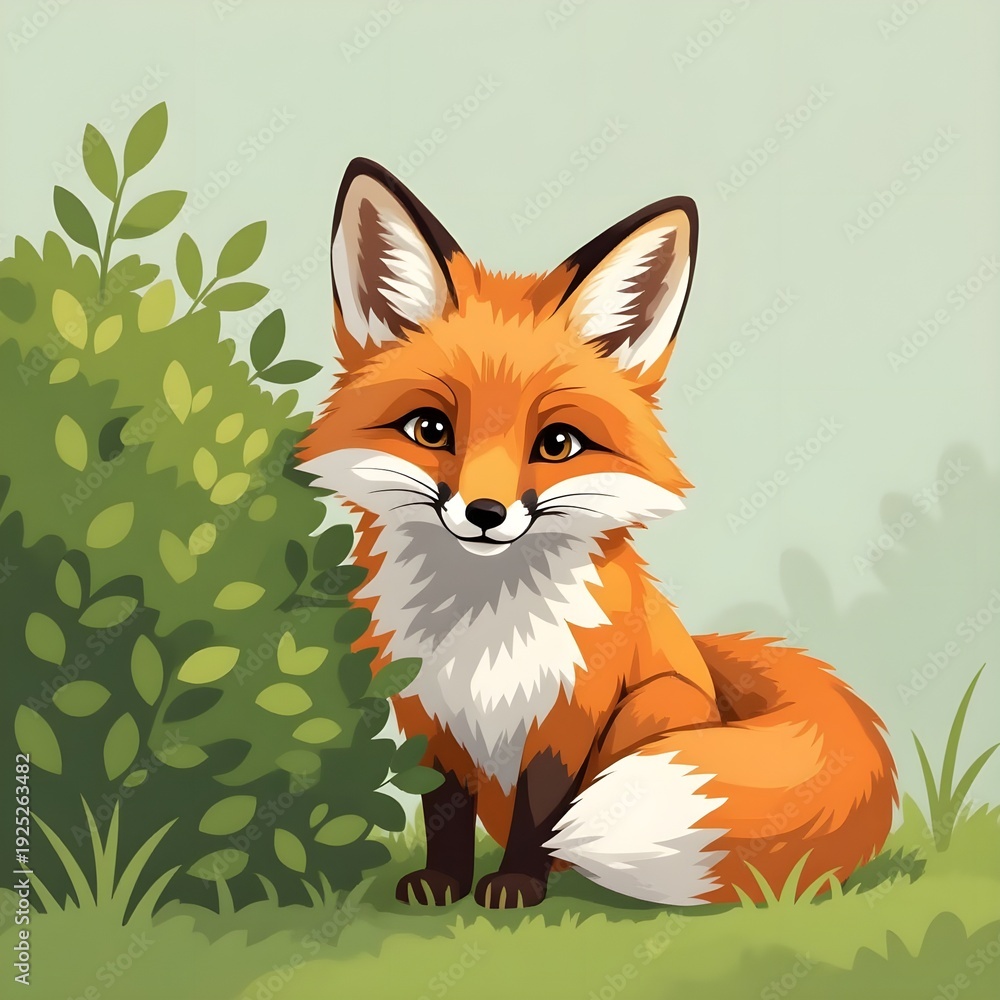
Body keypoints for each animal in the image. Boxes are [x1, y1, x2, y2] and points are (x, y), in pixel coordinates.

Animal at [298, 158, 897, 910]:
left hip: (657, 705)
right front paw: (443, 884)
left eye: (557, 443)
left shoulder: (570, 715)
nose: (486, 514)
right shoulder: (427, 719)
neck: (484, 629)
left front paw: (516, 886)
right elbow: (443, 811)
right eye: (430, 429)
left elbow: (543, 811)